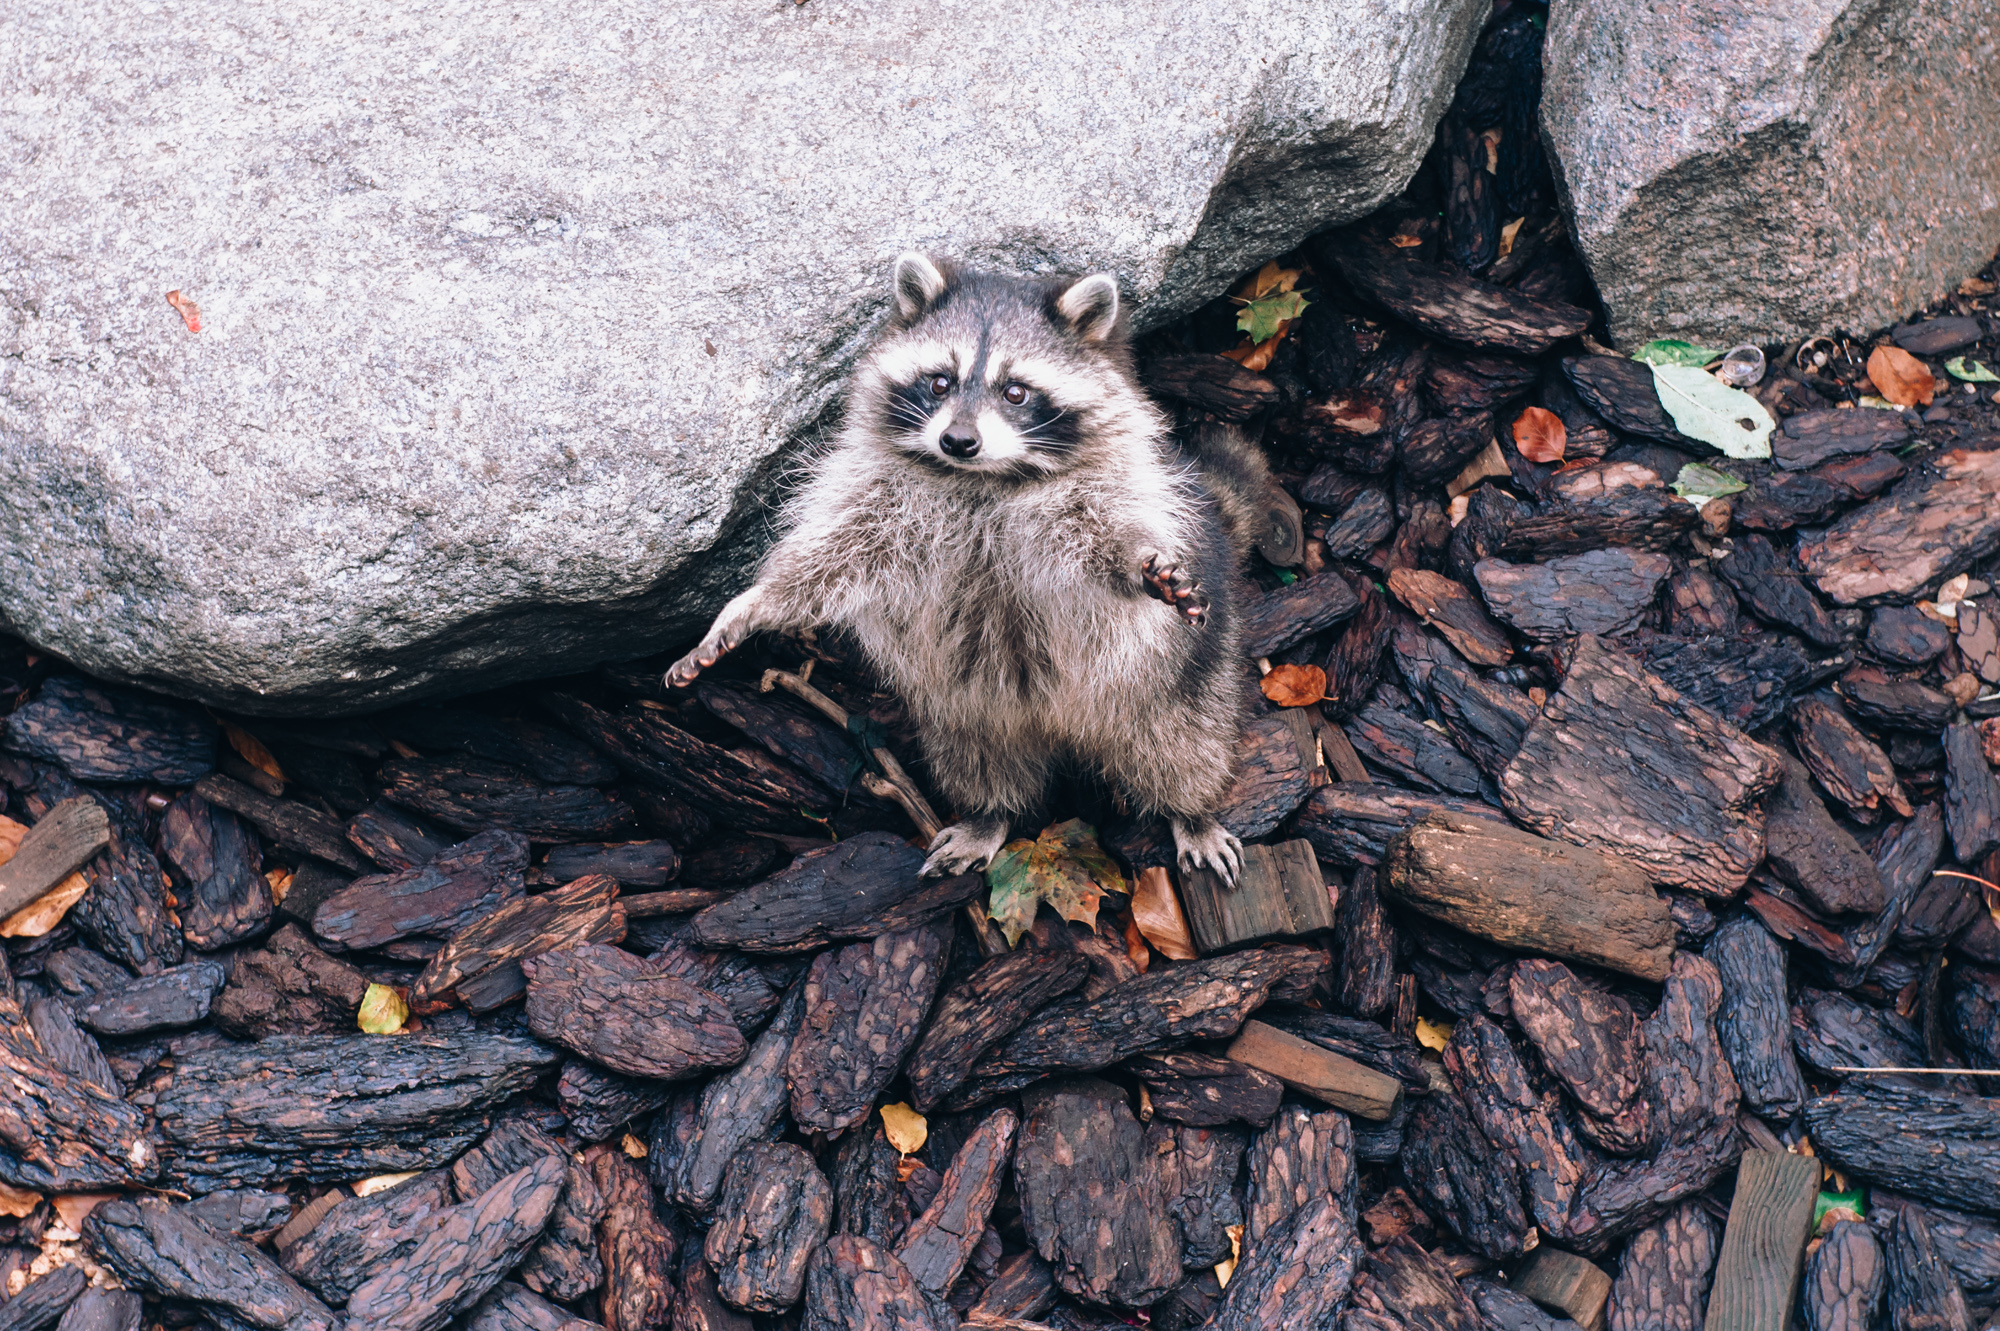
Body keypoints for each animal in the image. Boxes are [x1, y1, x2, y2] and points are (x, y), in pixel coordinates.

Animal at [664, 254, 1272, 887]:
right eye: (940, 382)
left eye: (1016, 391)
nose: (958, 440)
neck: (981, 480)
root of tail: (1061, 729)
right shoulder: (880, 498)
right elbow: (831, 558)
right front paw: (755, 604)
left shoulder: (1107, 490)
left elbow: (1109, 541)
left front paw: (1137, 564)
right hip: (964, 706)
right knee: (980, 757)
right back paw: (991, 813)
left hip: (1176, 676)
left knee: (1180, 745)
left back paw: (1190, 811)